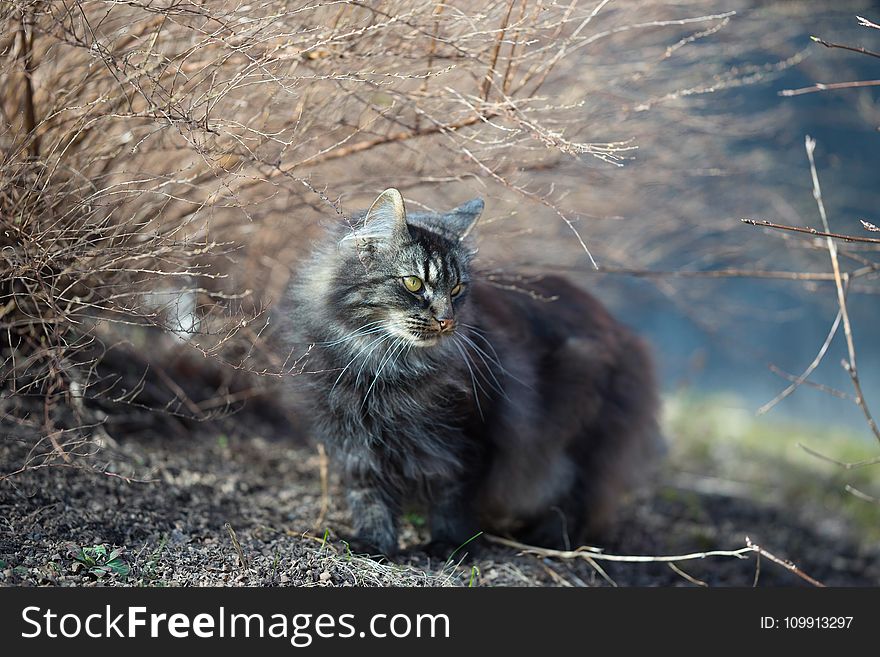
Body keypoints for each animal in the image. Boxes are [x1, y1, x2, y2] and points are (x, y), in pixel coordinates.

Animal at [282, 187, 660, 556]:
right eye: (414, 284)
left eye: (456, 289)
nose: (446, 320)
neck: (383, 366)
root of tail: (623, 330)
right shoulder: (355, 444)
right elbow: (370, 499)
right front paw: (373, 544)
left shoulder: (467, 440)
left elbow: (453, 499)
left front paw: (449, 546)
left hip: (580, 435)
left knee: (576, 500)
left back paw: (547, 541)